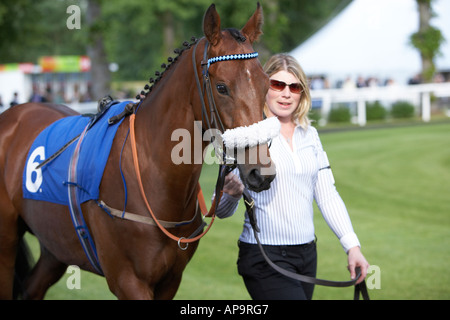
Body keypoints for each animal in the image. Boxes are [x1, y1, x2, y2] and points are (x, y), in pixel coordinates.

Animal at [0, 3, 274, 300]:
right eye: (222, 87)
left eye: (266, 84)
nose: (261, 172)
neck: (151, 172)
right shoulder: (127, 280)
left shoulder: (171, 279)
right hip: (7, 243)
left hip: (55, 245)